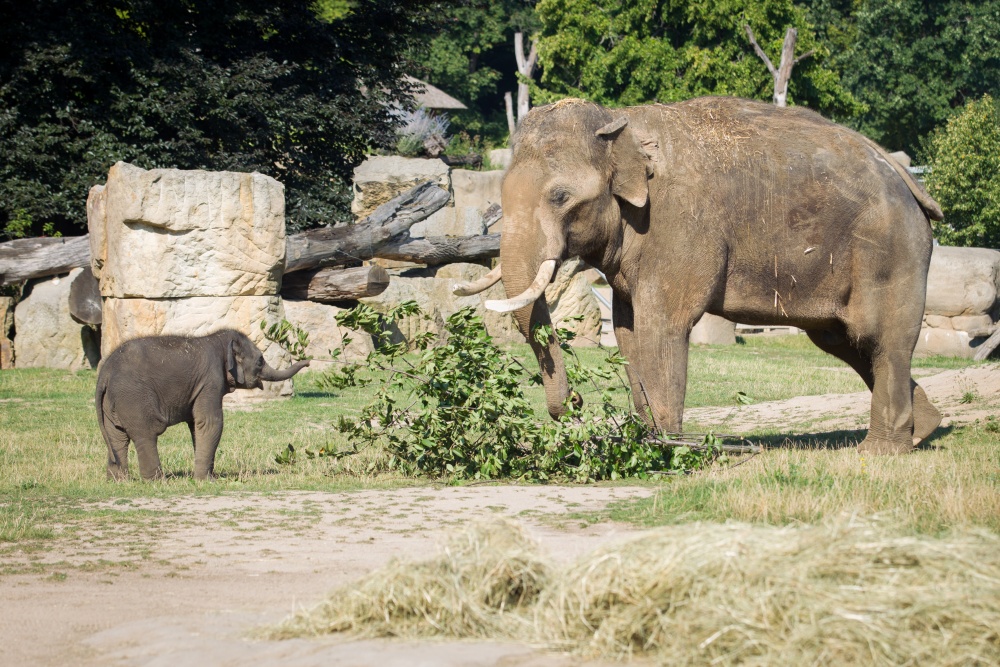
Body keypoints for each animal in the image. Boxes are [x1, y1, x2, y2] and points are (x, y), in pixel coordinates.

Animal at [98, 332, 310, 482]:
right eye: (260, 361)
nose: (307, 362)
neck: (217, 339)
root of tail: (105, 372)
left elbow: (196, 425)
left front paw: (208, 476)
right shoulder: (210, 380)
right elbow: (210, 423)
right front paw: (206, 481)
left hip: (111, 404)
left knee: (117, 438)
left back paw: (119, 481)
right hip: (134, 398)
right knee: (146, 434)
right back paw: (156, 481)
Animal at [458, 98, 940, 454]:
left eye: (560, 196)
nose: (576, 402)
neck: (620, 122)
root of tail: (907, 180)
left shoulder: (678, 223)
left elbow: (662, 325)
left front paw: (667, 449)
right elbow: (628, 331)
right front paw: (646, 440)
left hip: (888, 249)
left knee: (879, 339)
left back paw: (881, 451)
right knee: (845, 341)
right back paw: (925, 431)